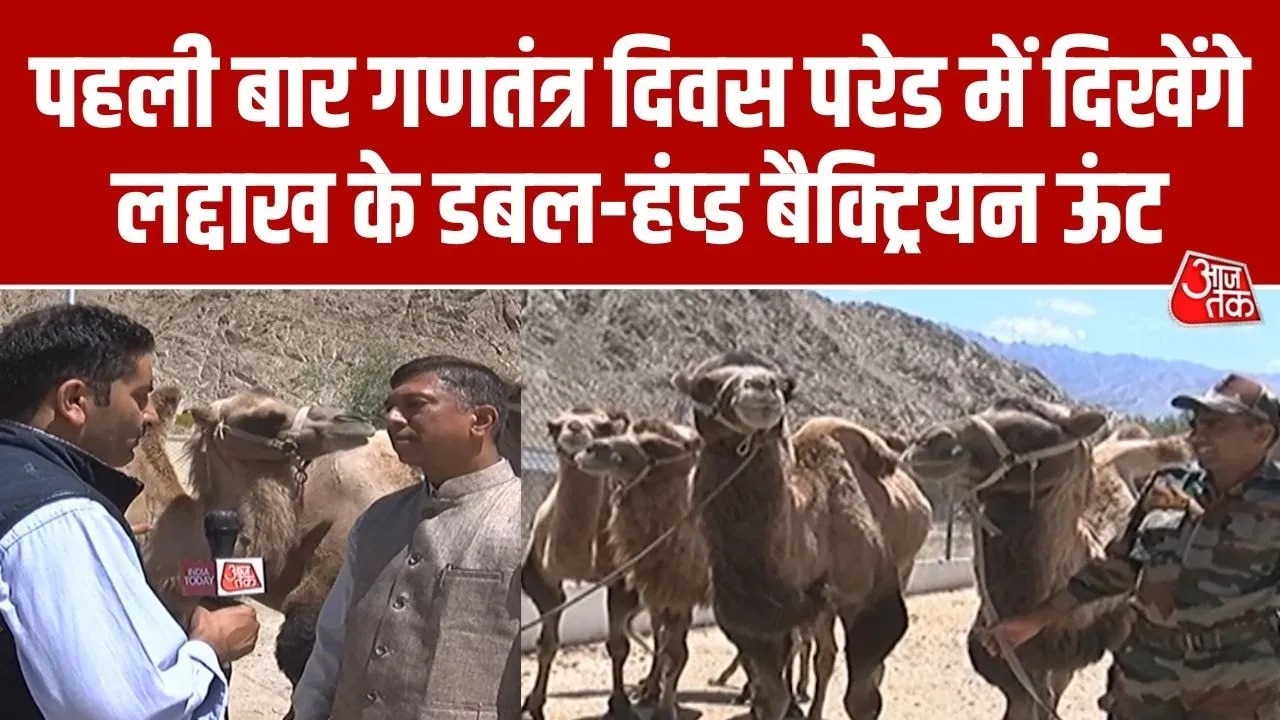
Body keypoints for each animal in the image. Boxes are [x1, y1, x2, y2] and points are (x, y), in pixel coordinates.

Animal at [521, 405, 640, 720]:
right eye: (553, 426)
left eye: (604, 426)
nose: (574, 428)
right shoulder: (543, 578)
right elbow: (547, 644)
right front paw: (533, 704)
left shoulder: (622, 580)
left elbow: (618, 645)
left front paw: (620, 704)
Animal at [570, 417, 708, 720]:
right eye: (626, 430)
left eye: (653, 444)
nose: (591, 449)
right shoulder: (626, 583)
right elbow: (618, 645)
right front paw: (618, 703)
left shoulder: (681, 592)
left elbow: (676, 654)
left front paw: (666, 711)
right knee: (658, 633)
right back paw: (648, 689)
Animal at [670, 351, 930, 720]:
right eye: (704, 384)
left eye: (784, 384)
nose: (761, 388)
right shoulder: (757, 622)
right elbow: (771, 697)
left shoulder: (870, 597)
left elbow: (862, 699)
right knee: (825, 653)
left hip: (904, 567)